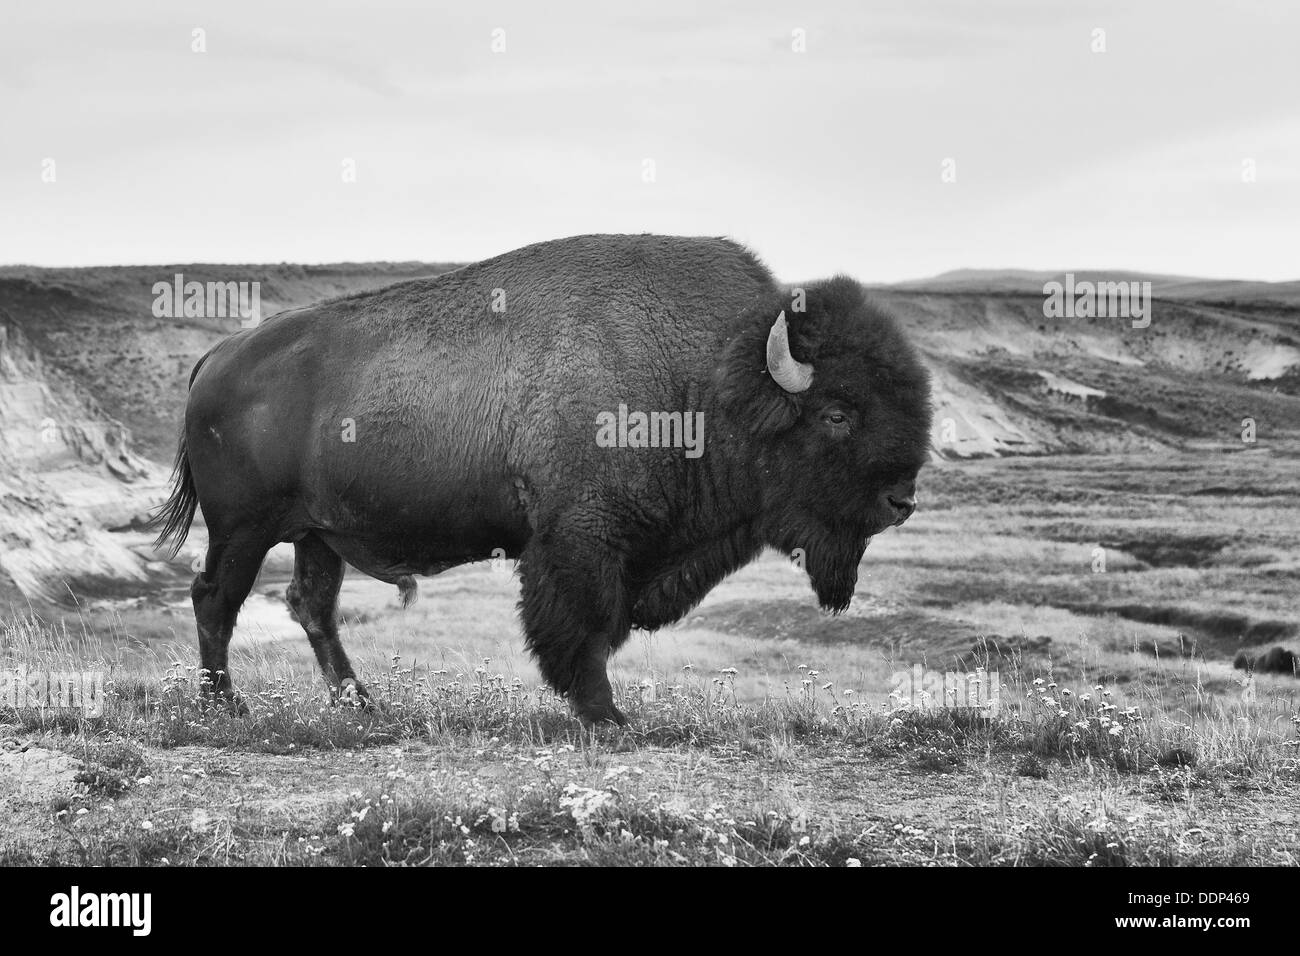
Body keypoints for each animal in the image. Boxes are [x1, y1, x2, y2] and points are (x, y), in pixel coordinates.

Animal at [154, 234, 935, 723]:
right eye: (837, 412)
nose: (902, 500)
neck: (710, 378)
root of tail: (218, 356)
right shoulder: (578, 541)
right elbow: (583, 629)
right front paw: (605, 714)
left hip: (318, 534)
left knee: (311, 605)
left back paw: (360, 703)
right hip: (244, 529)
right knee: (215, 598)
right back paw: (226, 705)